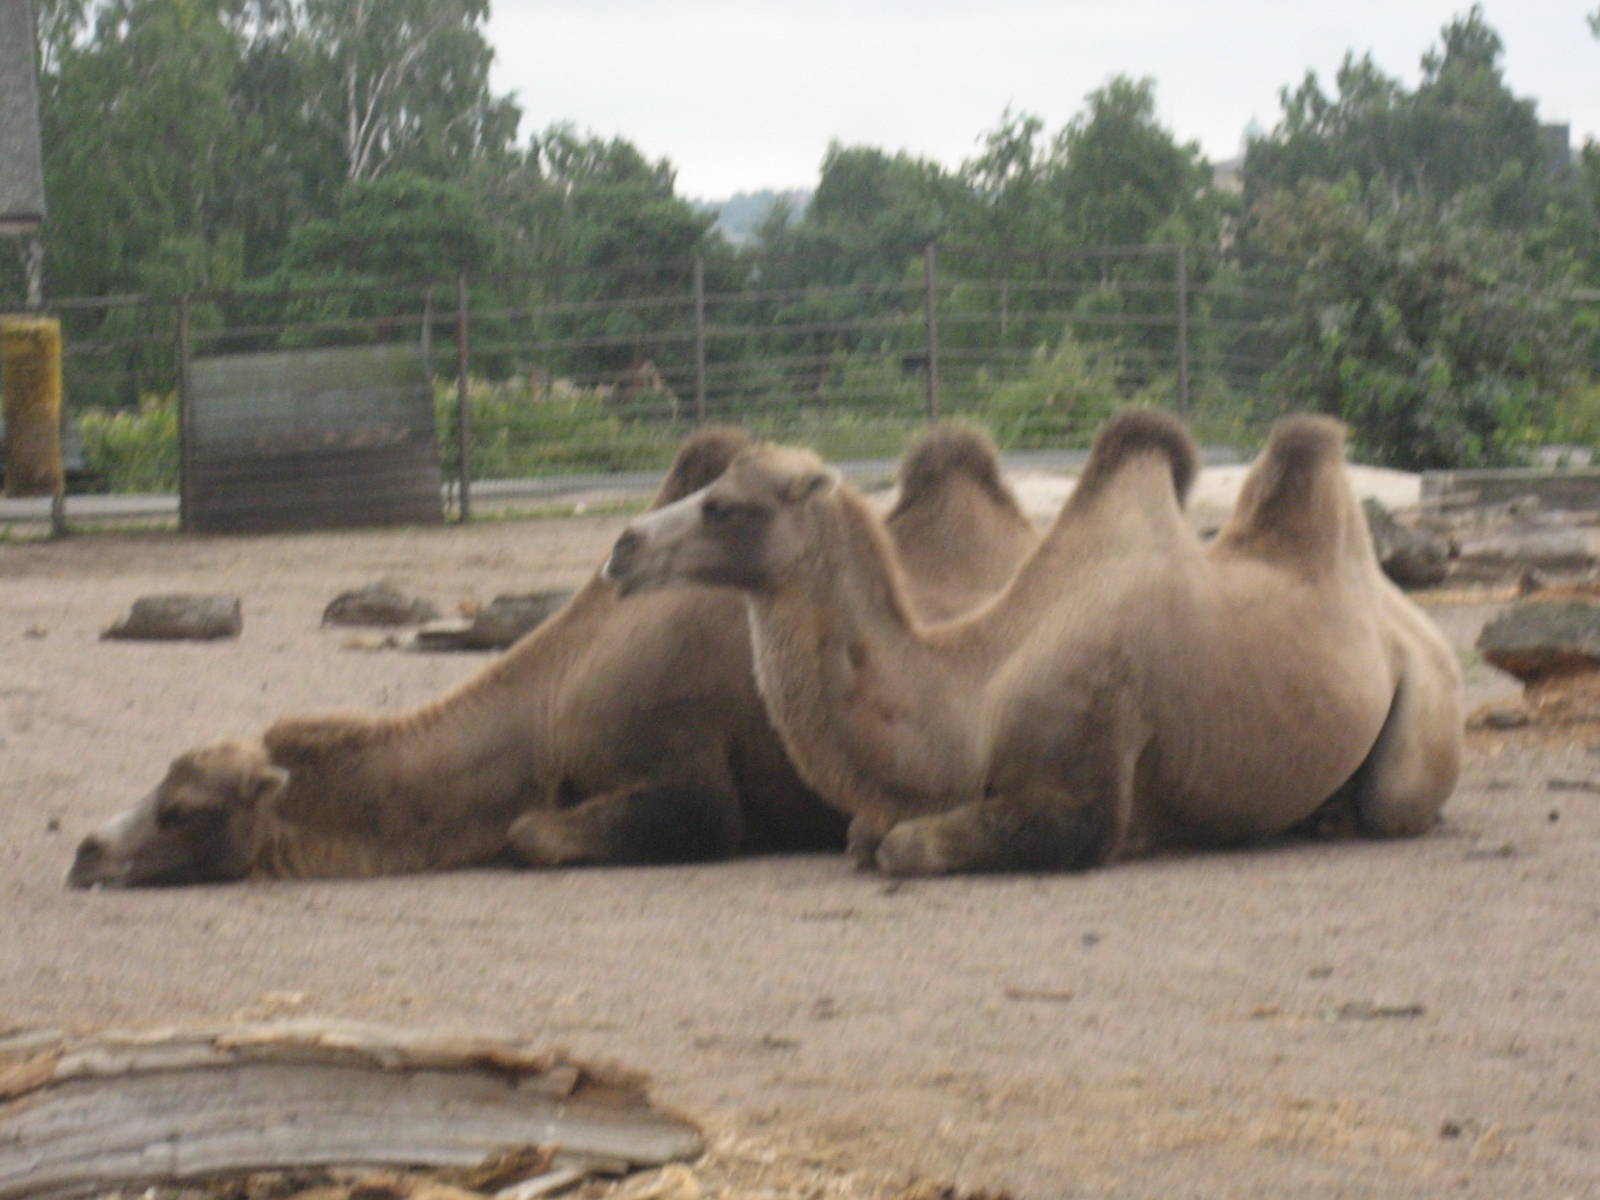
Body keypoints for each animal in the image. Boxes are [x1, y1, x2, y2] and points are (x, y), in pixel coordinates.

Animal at [604, 409, 1464, 876]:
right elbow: (862, 837)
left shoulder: (1082, 787)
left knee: (1395, 802)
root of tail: (1415, 621)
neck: (973, 699)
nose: (623, 546)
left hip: (1426, 701)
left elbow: (904, 848)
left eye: (725, 505)